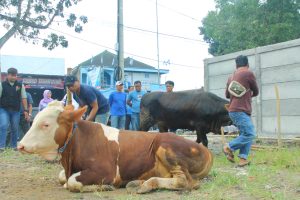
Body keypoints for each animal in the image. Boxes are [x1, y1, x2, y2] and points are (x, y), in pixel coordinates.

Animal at [18, 101, 213, 194]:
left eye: (45, 125)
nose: (20, 145)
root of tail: (204, 149)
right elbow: (62, 178)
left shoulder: (107, 171)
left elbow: (72, 182)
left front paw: (104, 187)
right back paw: (137, 183)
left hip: (165, 147)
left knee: (185, 181)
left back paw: (146, 185)